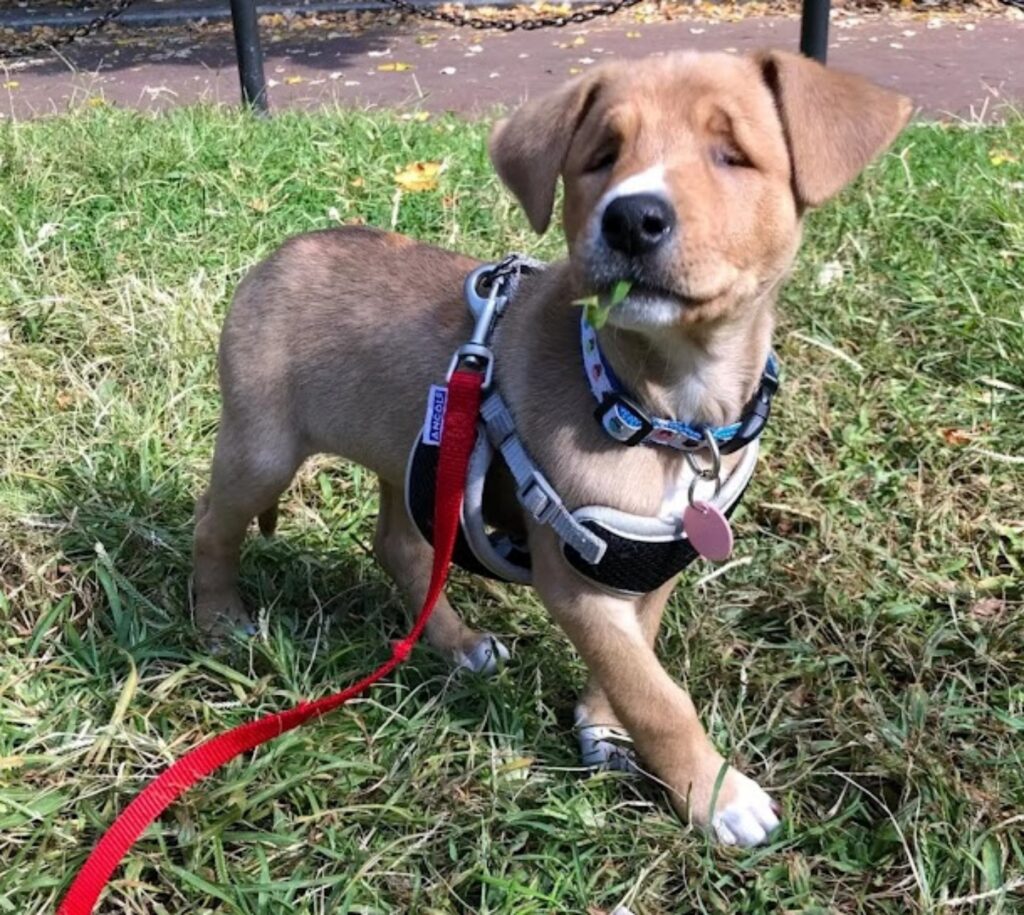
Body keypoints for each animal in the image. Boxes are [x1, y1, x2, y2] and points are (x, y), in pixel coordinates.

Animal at [193, 53, 913, 847]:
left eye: (732, 154)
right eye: (600, 157)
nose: (631, 217)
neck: (663, 408)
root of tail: (276, 256)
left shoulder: (649, 556)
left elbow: (636, 656)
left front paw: (603, 726)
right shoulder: (571, 575)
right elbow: (656, 693)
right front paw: (715, 793)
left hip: (420, 456)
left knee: (399, 545)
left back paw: (457, 641)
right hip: (263, 450)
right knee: (214, 525)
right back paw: (221, 620)